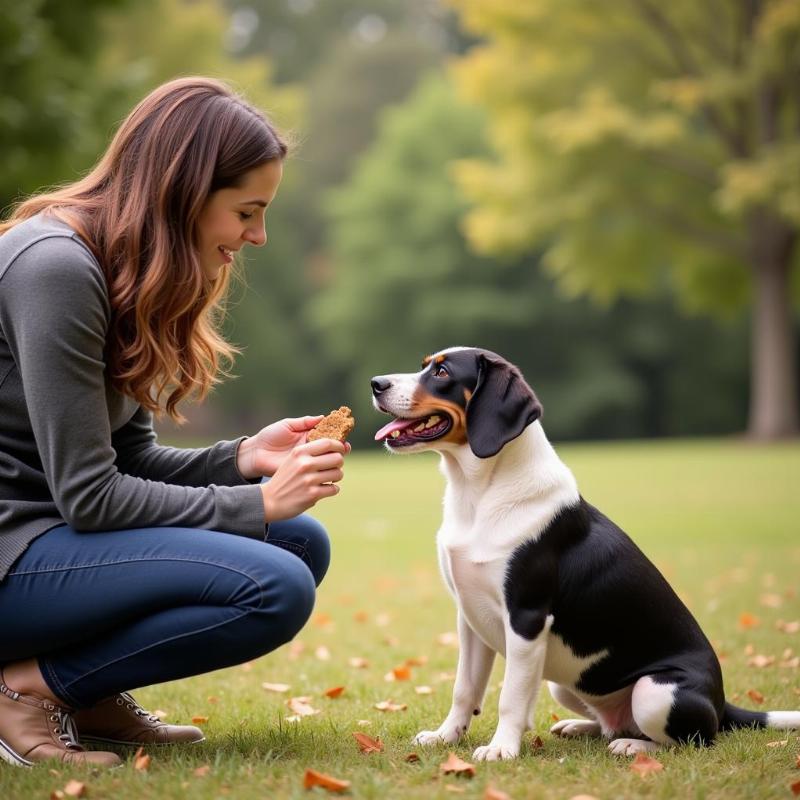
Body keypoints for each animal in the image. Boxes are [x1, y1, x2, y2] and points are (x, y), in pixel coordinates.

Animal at [372, 348, 796, 764]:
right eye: (426, 365)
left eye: (441, 372)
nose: (377, 383)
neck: (480, 496)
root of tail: (721, 704)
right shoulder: (470, 617)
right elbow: (465, 689)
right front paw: (445, 737)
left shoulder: (526, 618)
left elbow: (510, 697)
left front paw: (501, 748)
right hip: (566, 685)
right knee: (611, 723)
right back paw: (580, 728)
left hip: (656, 691)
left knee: (693, 740)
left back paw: (634, 747)